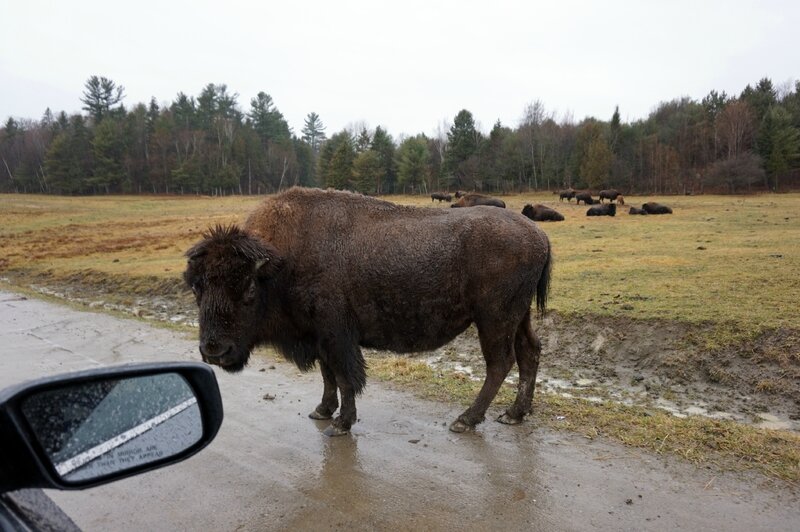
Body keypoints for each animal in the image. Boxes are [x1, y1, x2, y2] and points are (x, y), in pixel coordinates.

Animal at [184, 187, 552, 436]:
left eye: (248, 289)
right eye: (197, 288)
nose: (214, 350)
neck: (279, 263)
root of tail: (539, 235)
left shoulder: (337, 336)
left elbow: (346, 378)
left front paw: (340, 424)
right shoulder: (320, 337)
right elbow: (328, 376)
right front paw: (321, 411)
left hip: (494, 320)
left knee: (500, 363)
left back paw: (466, 420)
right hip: (518, 317)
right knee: (529, 353)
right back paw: (515, 414)